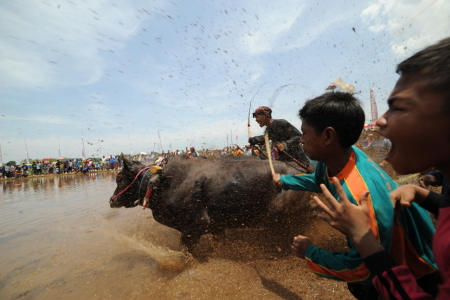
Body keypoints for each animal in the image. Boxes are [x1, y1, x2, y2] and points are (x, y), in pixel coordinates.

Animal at [110, 155, 312, 246]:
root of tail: (302, 169)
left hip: (278, 215)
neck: (160, 183)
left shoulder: (198, 223)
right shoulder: (216, 226)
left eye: (119, 178)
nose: (111, 201)